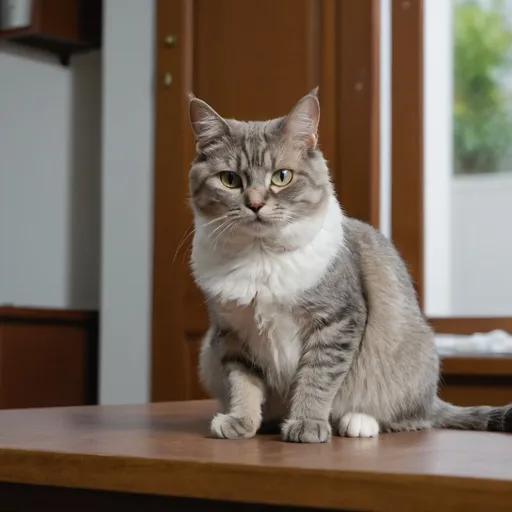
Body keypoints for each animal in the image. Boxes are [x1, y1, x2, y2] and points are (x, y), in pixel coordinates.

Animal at [188, 88, 512, 440]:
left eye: (282, 177)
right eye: (230, 180)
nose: (256, 204)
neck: (261, 257)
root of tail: (432, 399)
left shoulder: (337, 322)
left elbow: (316, 379)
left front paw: (307, 423)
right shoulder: (231, 334)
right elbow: (242, 383)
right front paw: (241, 421)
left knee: (410, 418)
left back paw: (358, 421)